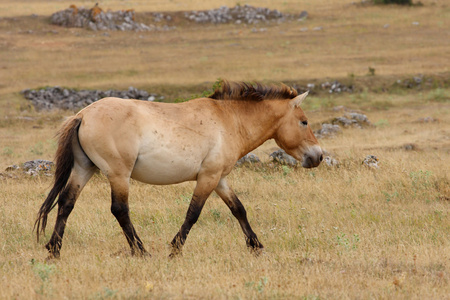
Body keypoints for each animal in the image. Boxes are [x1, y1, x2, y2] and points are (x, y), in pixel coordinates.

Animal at [35, 80, 324, 258]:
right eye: (304, 121)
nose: (318, 156)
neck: (229, 120)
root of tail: (82, 115)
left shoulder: (219, 179)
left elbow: (238, 209)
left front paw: (256, 246)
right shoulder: (207, 178)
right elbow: (193, 214)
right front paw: (175, 249)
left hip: (85, 168)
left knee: (66, 203)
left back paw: (54, 250)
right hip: (118, 174)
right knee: (119, 210)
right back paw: (141, 251)